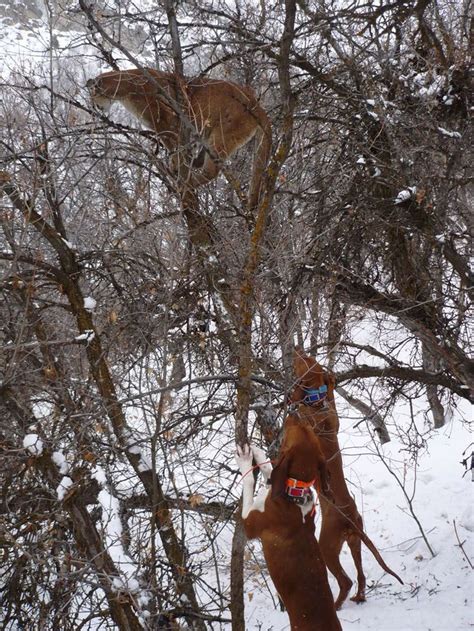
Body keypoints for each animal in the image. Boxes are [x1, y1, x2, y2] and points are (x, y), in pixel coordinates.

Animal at [236, 418, 340, 628]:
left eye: (290, 431)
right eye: (306, 428)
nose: (292, 414)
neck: (295, 495)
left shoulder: (249, 523)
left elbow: (249, 481)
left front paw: (245, 459)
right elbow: (271, 472)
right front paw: (259, 454)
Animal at [288, 350, 404, 608]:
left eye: (305, 361)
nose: (297, 350)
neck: (317, 404)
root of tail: (350, 520)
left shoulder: (311, 424)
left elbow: (300, 411)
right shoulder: (333, 417)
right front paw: (330, 382)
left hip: (327, 546)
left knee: (346, 580)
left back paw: (336, 604)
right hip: (354, 543)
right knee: (360, 576)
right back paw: (359, 596)